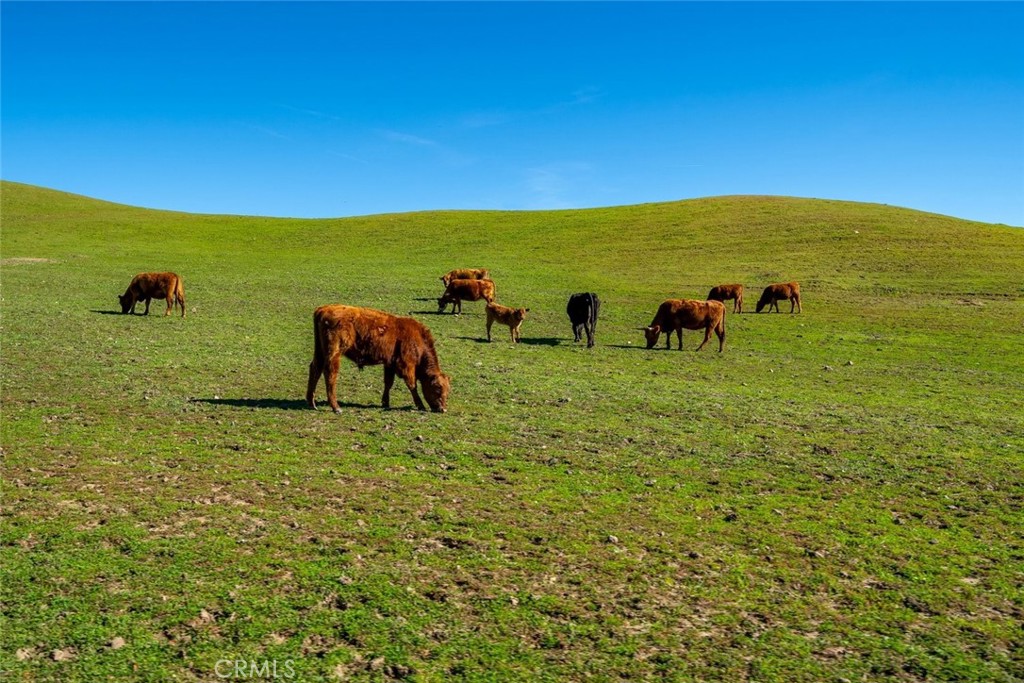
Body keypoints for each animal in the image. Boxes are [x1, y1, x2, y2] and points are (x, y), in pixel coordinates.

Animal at [307, 305, 450, 414]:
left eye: (447, 391)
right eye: (437, 389)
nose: (442, 409)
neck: (417, 338)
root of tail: (323, 309)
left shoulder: (390, 364)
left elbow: (388, 383)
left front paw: (385, 402)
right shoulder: (406, 365)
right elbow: (412, 385)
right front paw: (420, 405)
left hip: (320, 352)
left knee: (315, 368)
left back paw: (311, 403)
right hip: (334, 353)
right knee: (330, 374)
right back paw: (336, 407)